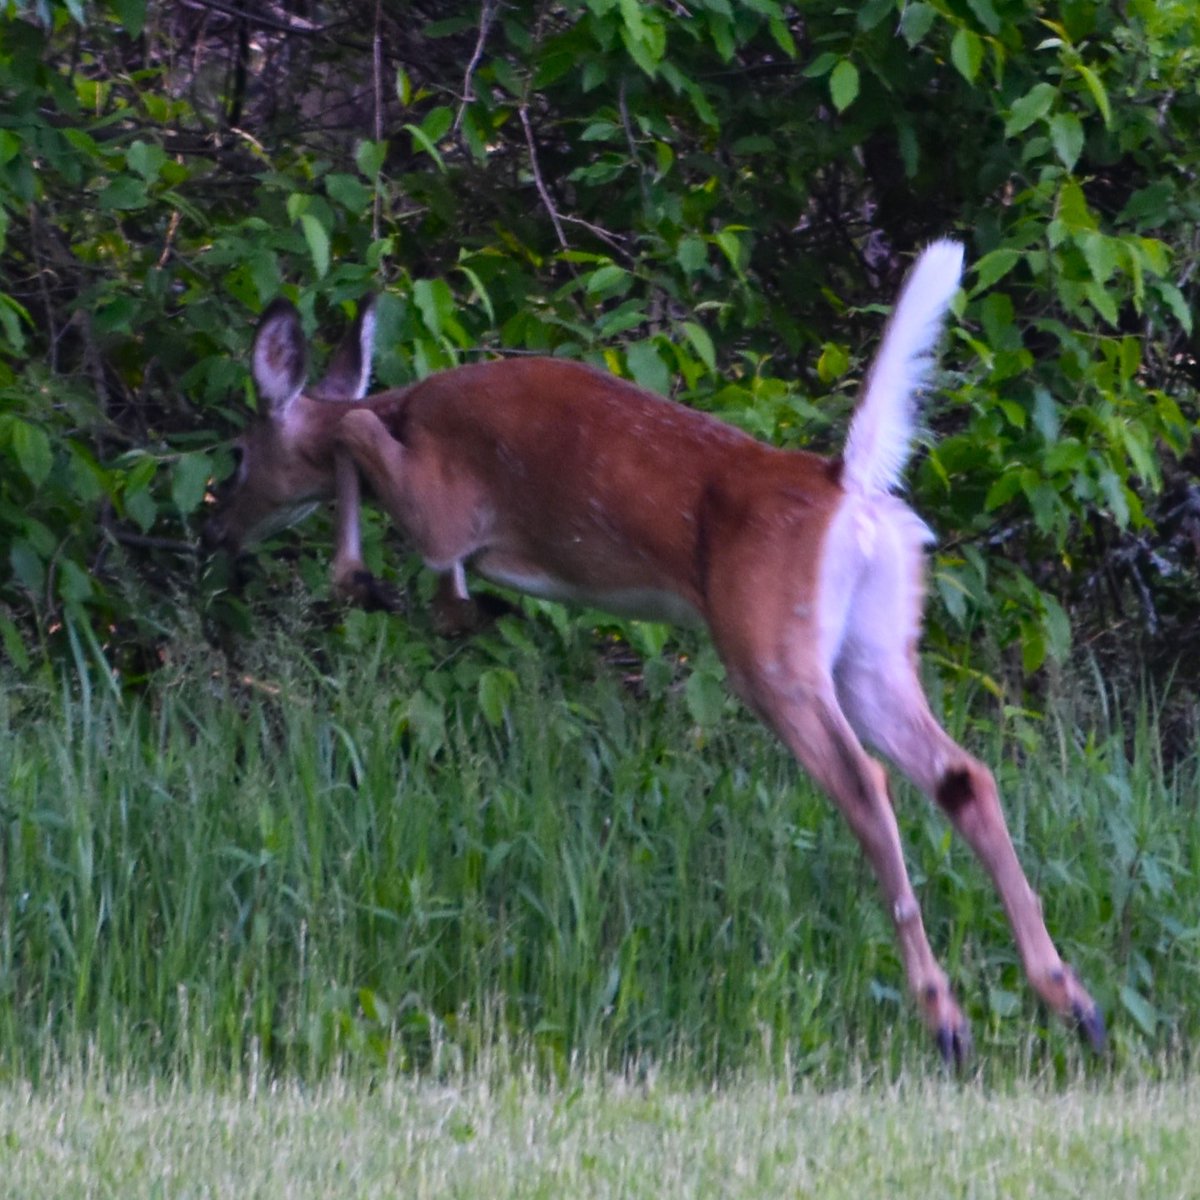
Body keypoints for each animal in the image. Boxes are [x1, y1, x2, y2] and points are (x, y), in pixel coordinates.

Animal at [203, 241, 1106, 1063]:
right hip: (874, 649)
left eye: (238, 456)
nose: (220, 532)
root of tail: (844, 483)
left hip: (772, 651)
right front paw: (454, 607)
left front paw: (372, 583)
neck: (412, 409)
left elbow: (354, 435)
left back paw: (948, 1019)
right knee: (963, 775)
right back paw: (1072, 1003)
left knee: (867, 787)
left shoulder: (443, 512)